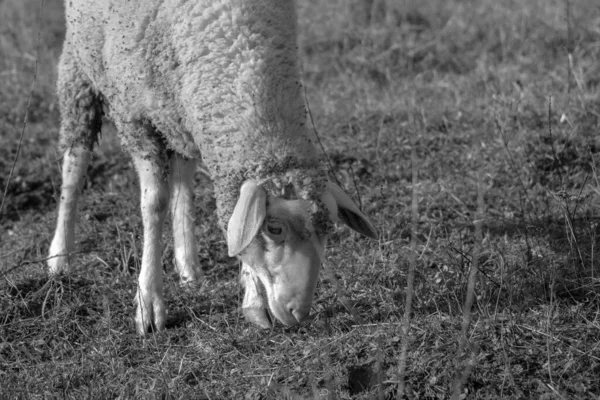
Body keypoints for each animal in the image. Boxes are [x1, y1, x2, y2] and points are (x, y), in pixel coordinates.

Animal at [48, 0, 376, 334]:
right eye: (274, 228)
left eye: (328, 229)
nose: (299, 312)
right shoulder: (134, 117)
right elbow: (154, 204)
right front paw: (148, 303)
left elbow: (235, 229)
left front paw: (253, 301)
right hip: (79, 70)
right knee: (74, 167)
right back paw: (59, 257)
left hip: (177, 111)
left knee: (182, 183)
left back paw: (188, 267)